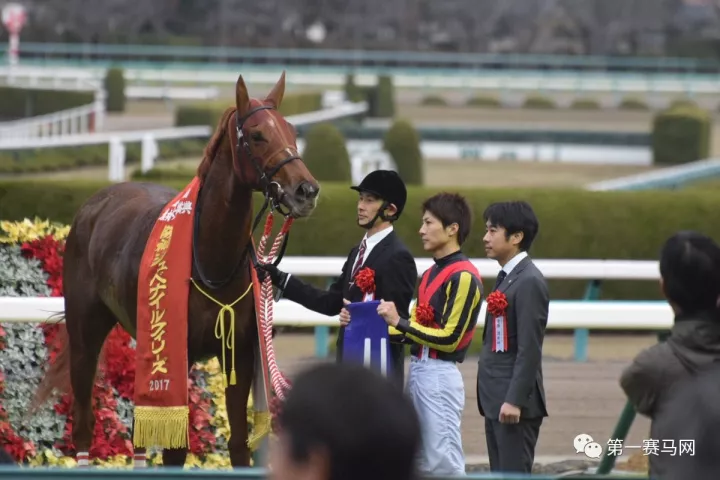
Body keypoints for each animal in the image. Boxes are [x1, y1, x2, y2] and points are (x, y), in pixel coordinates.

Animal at [31, 73, 318, 466]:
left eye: (290, 130)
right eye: (258, 134)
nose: (306, 190)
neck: (212, 262)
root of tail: (95, 204)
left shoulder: (239, 352)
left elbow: (238, 443)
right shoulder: (177, 354)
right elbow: (175, 449)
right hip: (85, 331)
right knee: (83, 424)